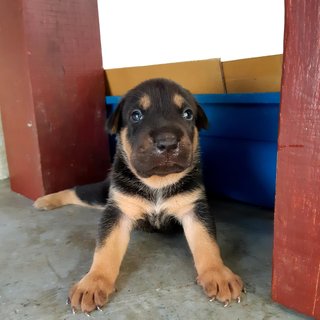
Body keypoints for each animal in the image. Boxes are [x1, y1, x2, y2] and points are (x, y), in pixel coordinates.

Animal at [34, 79, 242, 314]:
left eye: (188, 114)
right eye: (136, 115)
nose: (168, 142)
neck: (157, 182)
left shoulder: (194, 208)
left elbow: (206, 242)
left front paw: (218, 274)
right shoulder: (118, 211)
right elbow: (105, 249)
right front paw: (93, 282)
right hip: (102, 194)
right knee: (77, 191)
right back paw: (45, 200)